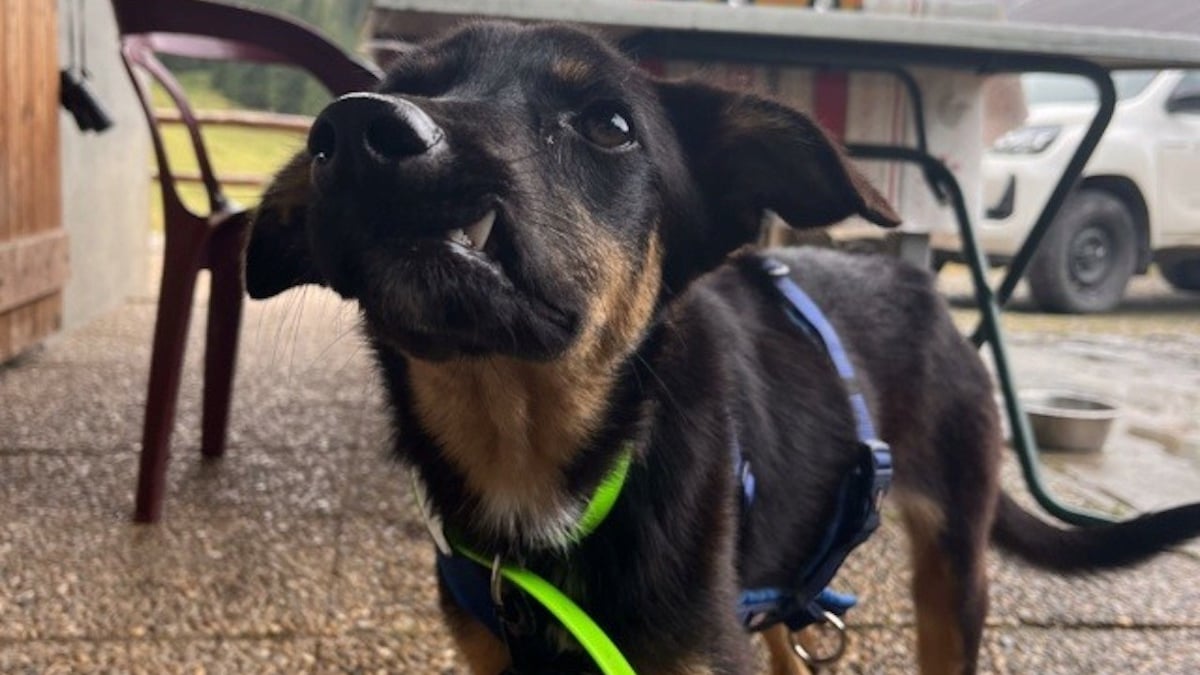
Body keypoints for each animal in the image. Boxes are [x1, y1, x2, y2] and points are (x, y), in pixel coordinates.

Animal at [241, 21, 1200, 672]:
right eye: (414, 82)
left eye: (609, 125)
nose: (355, 133)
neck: (536, 468)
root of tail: (923, 290)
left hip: (953, 565)